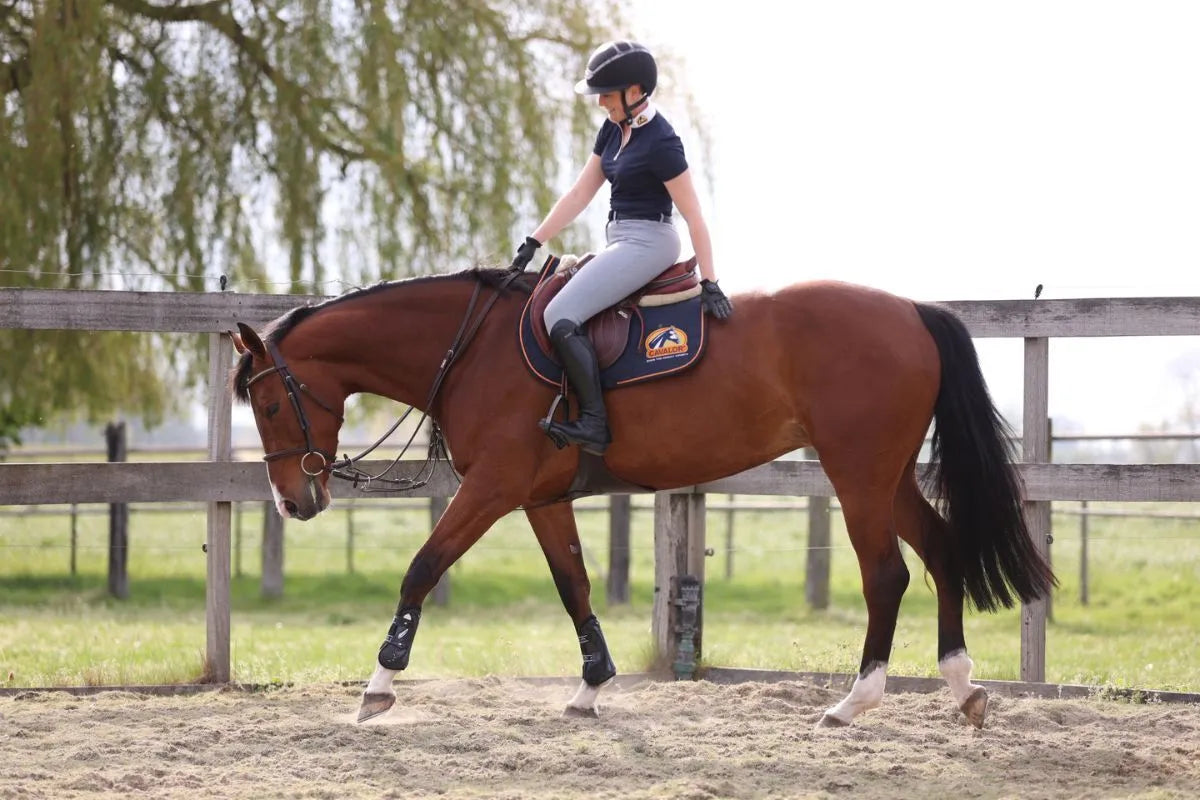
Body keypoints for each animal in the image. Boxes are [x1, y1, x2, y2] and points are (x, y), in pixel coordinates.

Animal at [231, 266, 1056, 728]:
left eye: (267, 404)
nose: (293, 502)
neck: (472, 348)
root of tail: (913, 309)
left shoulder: (493, 487)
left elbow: (422, 568)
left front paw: (377, 687)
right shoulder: (540, 498)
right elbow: (574, 585)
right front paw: (591, 688)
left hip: (858, 474)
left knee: (887, 575)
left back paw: (855, 702)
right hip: (886, 475)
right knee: (942, 551)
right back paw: (961, 686)